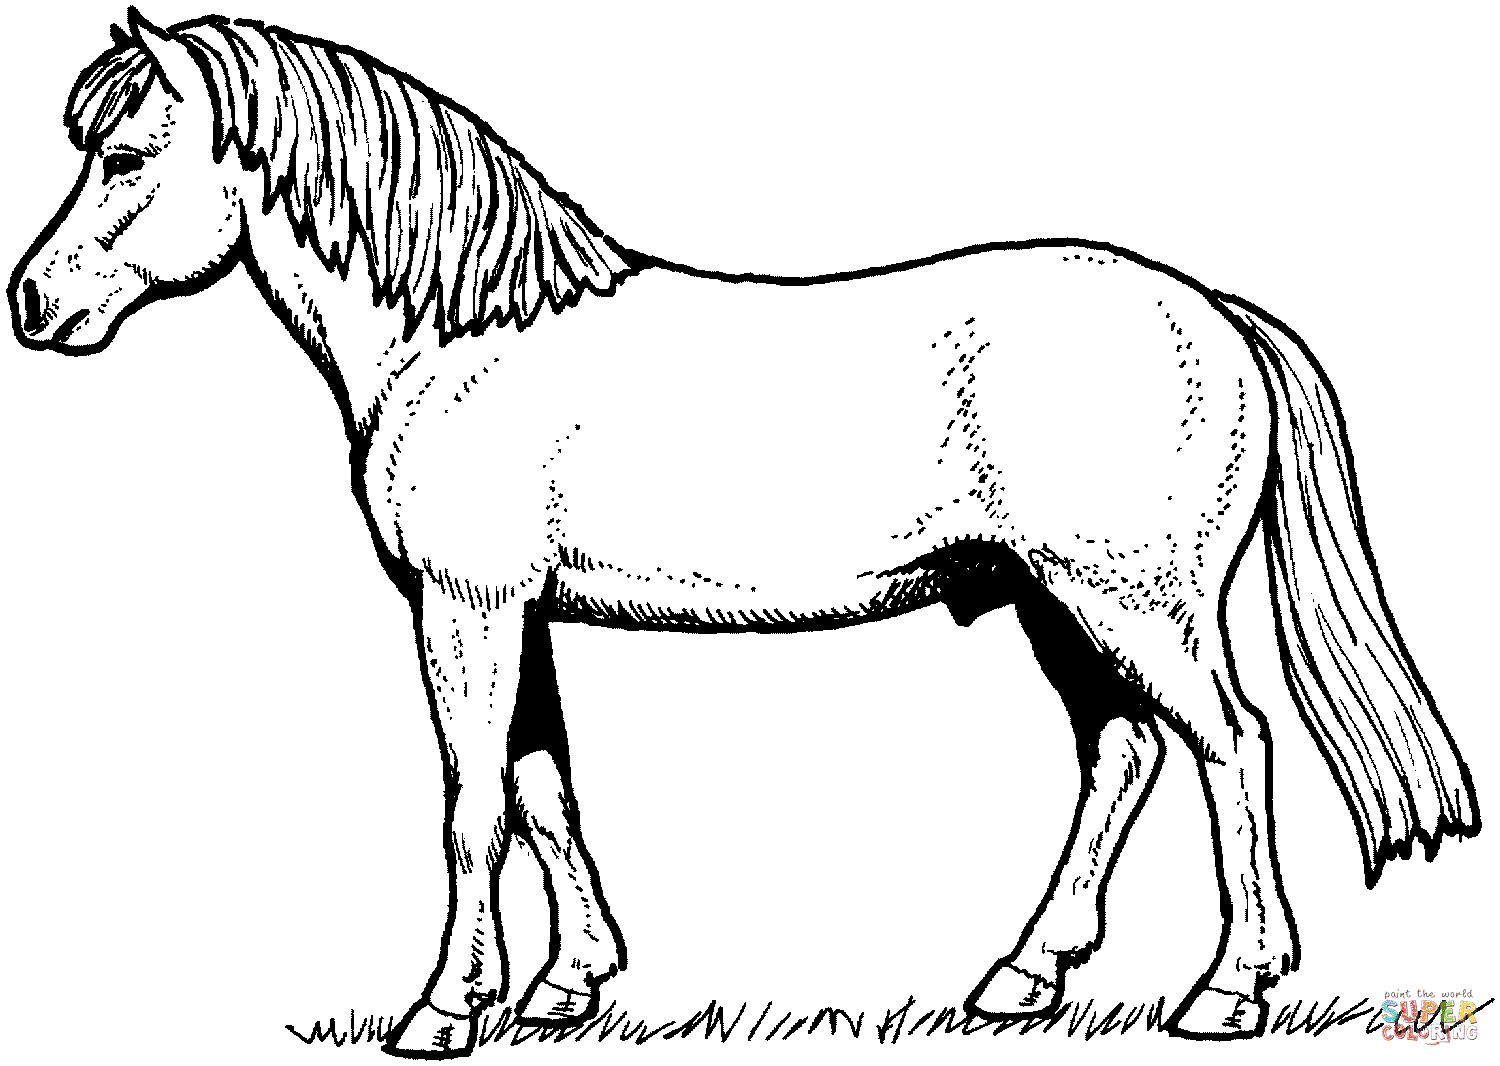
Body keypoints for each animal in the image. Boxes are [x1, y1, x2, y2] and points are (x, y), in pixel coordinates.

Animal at [9, 9, 1479, 1057]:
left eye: (126, 157)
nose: (32, 301)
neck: (464, 337)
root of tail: (1211, 313)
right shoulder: (516, 610)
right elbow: (543, 785)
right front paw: (566, 983)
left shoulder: (465, 603)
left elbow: (474, 803)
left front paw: (442, 1010)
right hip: (1054, 601)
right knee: (1122, 753)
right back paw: (1022, 975)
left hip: (1133, 601)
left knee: (1233, 744)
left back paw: (1229, 990)